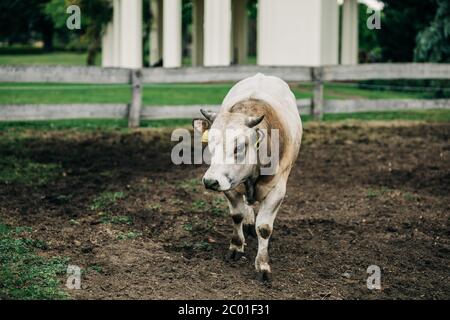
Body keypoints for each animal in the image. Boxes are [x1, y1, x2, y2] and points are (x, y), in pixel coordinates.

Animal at [193, 73, 302, 282]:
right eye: (210, 144)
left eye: (240, 146)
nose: (210, 181)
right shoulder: (231, 185)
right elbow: (237, 216)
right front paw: (236, 247)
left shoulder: (277, 191)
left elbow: (264, 228)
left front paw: (263, 265)